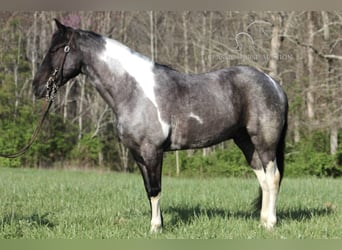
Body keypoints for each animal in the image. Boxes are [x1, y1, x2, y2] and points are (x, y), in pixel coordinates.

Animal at [32, 19, 288, 232]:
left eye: (56, 49)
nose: (37, 87)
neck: (133, 91)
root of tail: (273, 84)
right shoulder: (137, 154)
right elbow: (148, 189)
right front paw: (158, 224)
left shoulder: (152, 151)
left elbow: (155, 190)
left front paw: (155, 227)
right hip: (246, 142)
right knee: (263, 179)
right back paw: (262, 221)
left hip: (264, 143)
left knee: (273, 178)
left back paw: (270, 223)